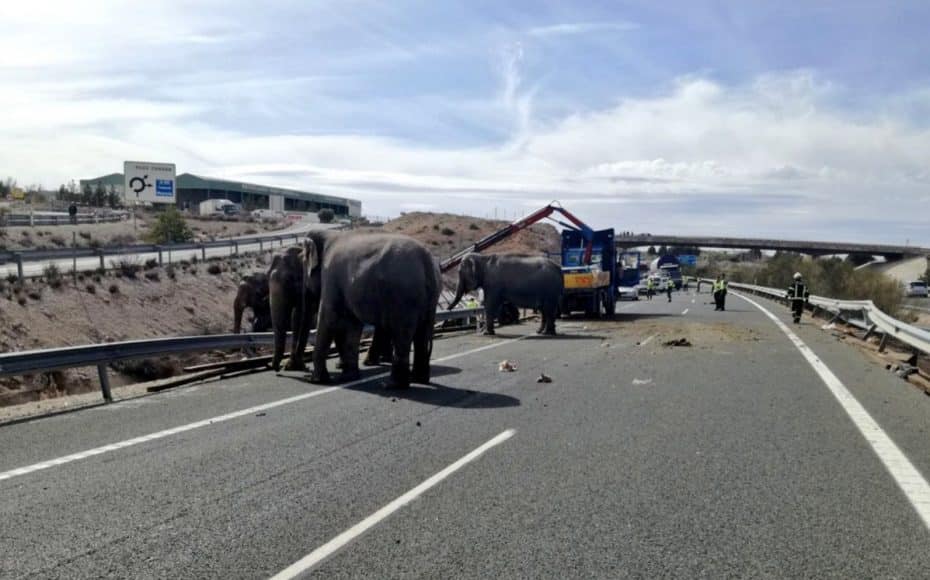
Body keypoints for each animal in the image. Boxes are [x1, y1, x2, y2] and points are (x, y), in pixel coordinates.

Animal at [300, 229, 438, 388]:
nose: (304, 371)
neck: (328, 234)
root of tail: (426, 260)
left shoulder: (330, 277)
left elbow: (328, 318)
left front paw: (316, 381)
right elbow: (353, 325)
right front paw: (348, 378)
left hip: (404, 297)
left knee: (402, 334)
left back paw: (391, 385)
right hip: (428, 300)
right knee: (422, 335)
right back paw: (419, 380)